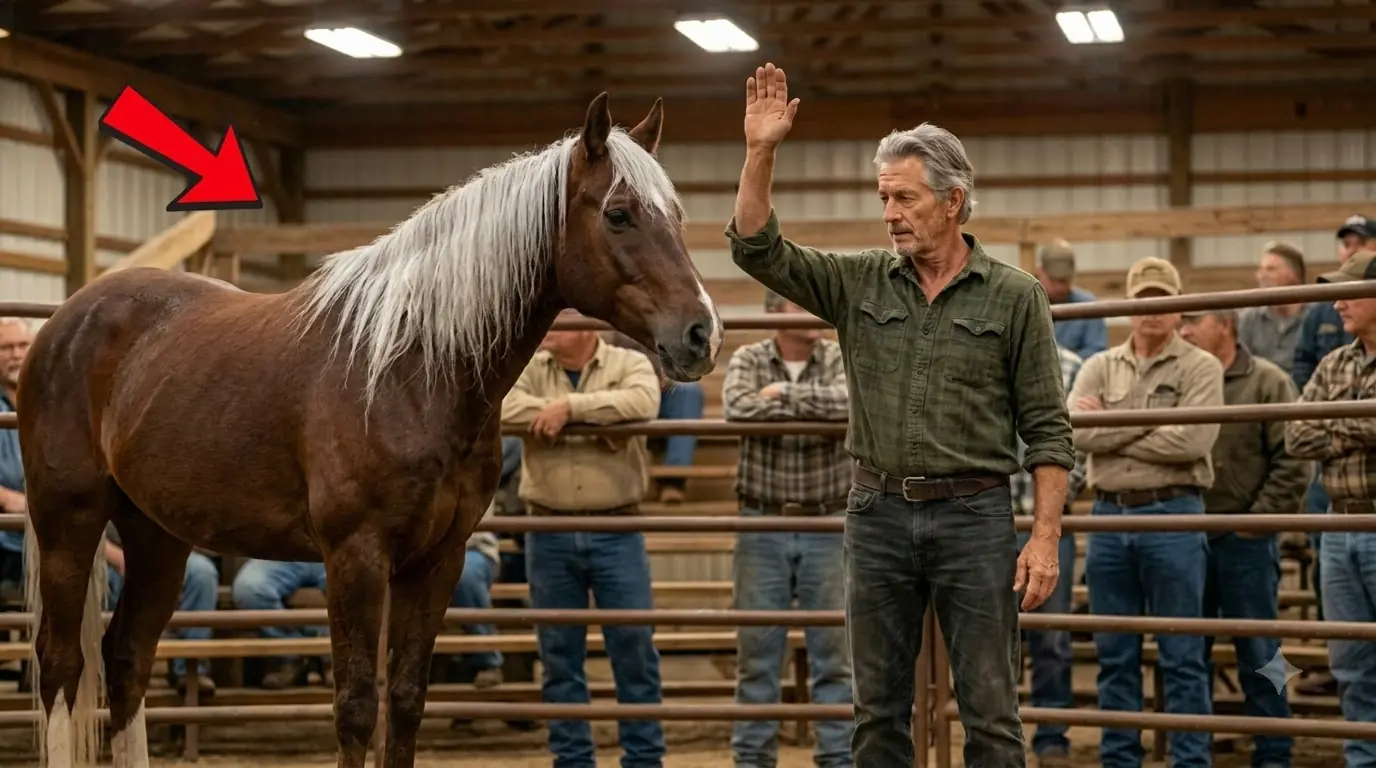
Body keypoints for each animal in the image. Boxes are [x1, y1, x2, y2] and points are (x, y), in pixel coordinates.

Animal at [16, 92, 724, 768]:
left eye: (675, 216)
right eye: (618, 214)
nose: (701, 334)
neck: (411, 368)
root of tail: (66, 320)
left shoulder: (437, 561)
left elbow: (405, 700)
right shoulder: (355, 556)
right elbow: (357, 705)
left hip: (156, 534)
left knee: (128, 657)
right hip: (70, 522)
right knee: (61, 664)